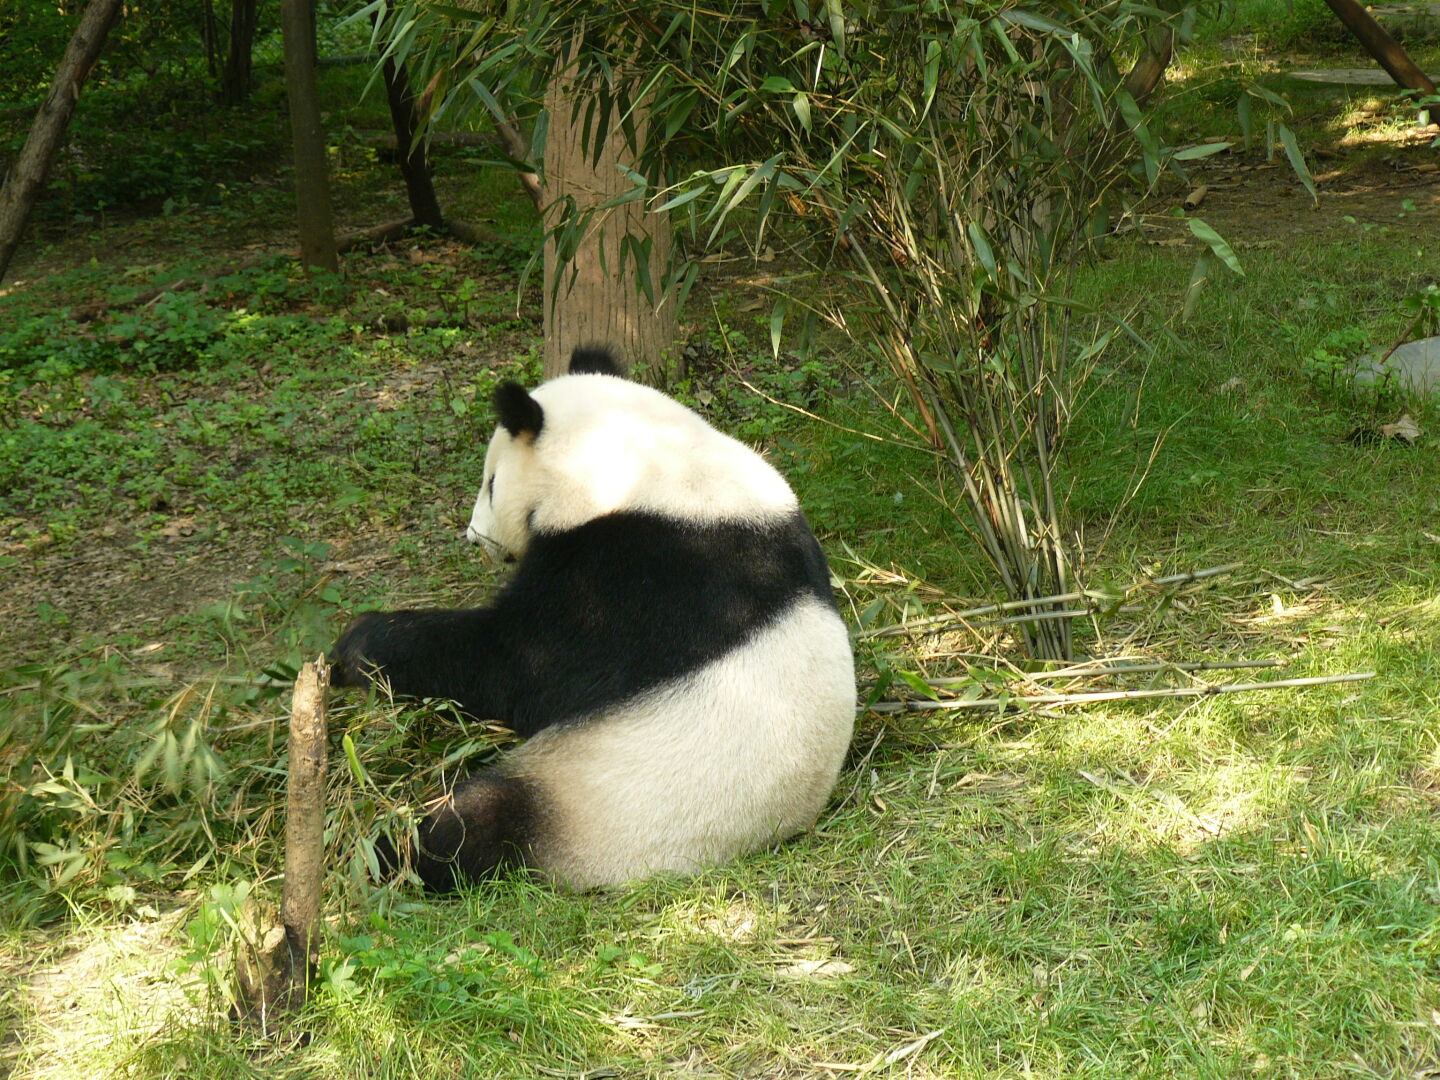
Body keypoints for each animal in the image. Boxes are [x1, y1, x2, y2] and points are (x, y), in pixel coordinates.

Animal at [330, 344, 856, 892]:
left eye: (491, 484)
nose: (475, 538)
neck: (649, 464)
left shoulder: (640, 576)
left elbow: (518, 664)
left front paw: (359, 645)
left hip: (592, 803)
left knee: (475, 827)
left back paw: (387, 853)